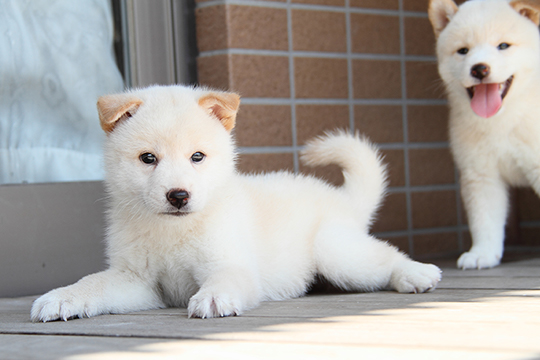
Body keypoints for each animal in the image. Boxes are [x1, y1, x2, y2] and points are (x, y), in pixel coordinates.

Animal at [31, 85, 440, 320]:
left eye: (197, 157)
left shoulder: (228, 261)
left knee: (385, 257)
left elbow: (224, 278)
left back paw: (416, 274)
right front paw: (62, 298)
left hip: (336, 251)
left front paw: (213, 298)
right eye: (148, 158)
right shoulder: (137, 281)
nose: (178, 195)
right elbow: (93, 283)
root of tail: (341, 198)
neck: (172, 231)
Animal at [430, 0, 540, 268]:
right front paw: (483, 253)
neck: (501, 122)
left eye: (503, 46)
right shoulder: (480, 174)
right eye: (463, 51)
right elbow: (484, 221)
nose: (479, 69)